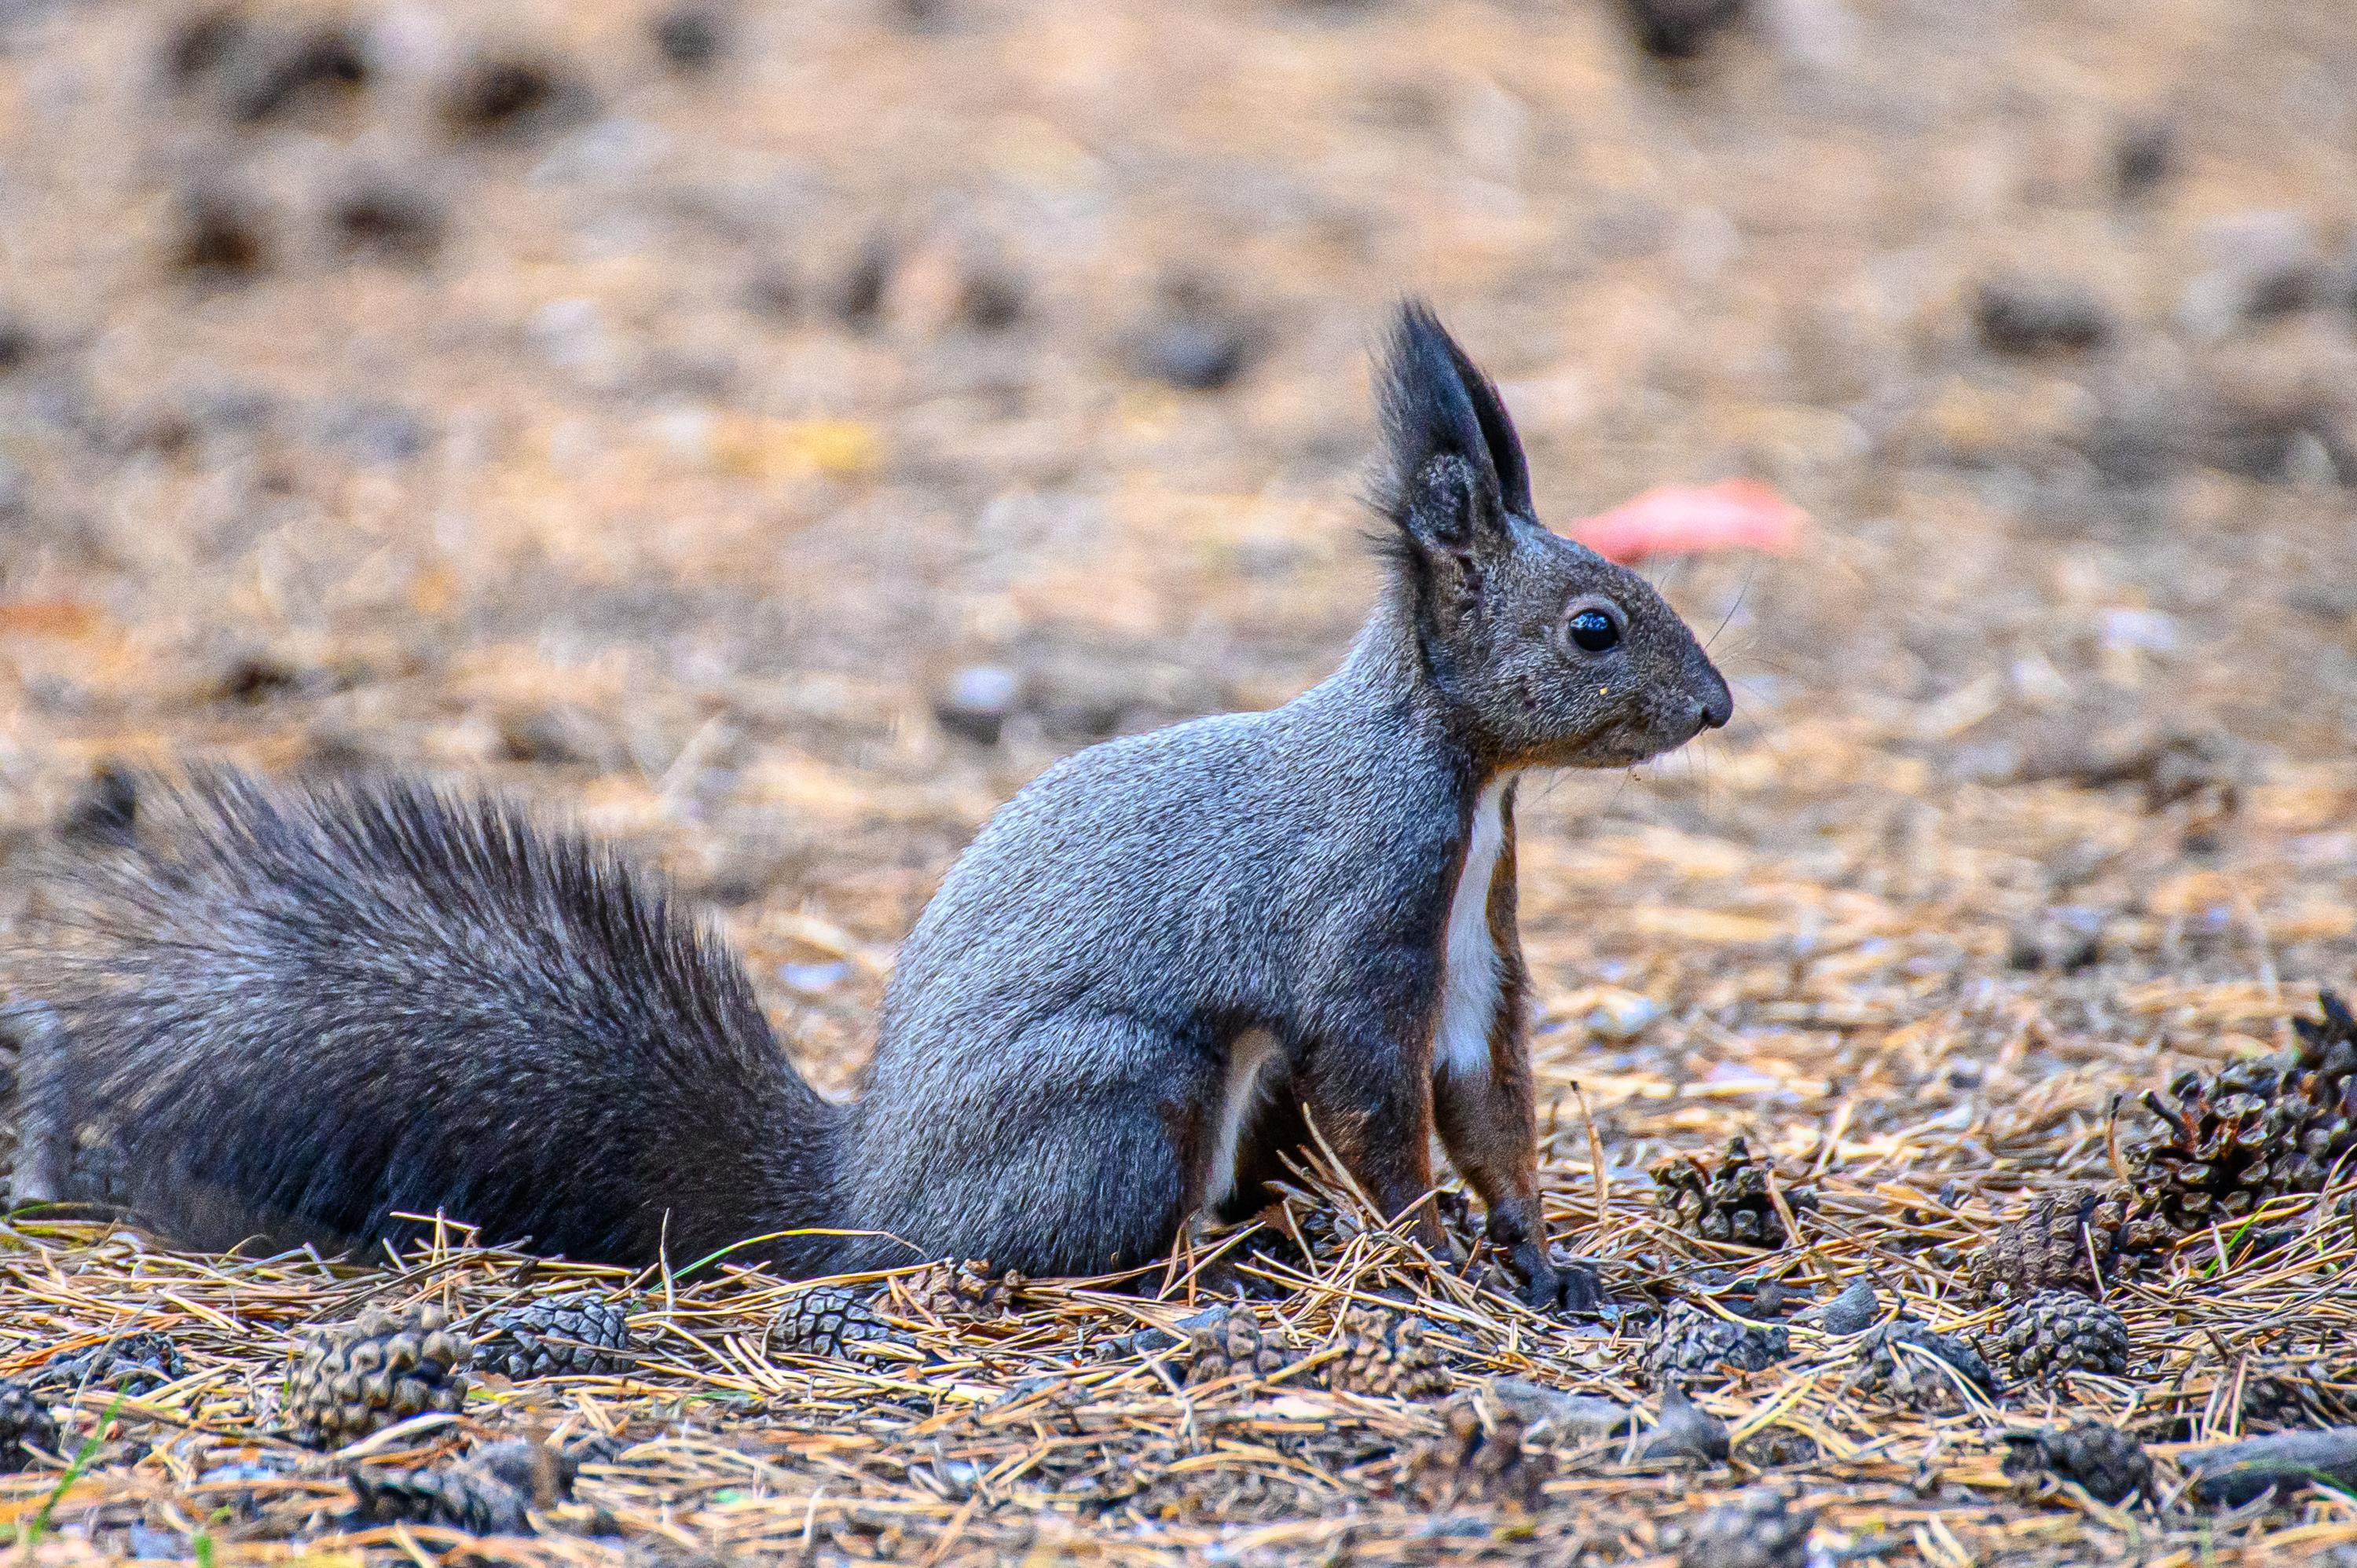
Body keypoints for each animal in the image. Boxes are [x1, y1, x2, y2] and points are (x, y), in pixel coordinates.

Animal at [4, 299, 1735, 1301]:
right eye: (1596, 626)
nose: (1717, 706)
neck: (1460, 776)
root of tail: (867, 1198)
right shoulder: (1357, 924)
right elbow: (1386, 1110)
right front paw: (1432, 1249)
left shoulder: (1473, 949)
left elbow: (1489, 1099)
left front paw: (1542, 1254)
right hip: (1126, 1090)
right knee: (1057, 1245)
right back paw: (1202, 1275)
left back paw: (1257, 1243)